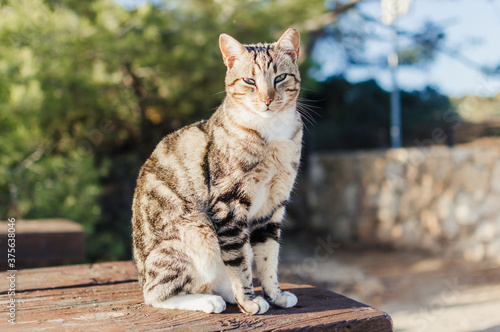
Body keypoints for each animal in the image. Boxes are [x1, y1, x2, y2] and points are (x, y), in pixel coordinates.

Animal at [132, 27, 300, 314]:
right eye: (249, 81)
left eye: (280, 77)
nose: (267, 99)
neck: (272, 135)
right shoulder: (228, 205)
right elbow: (240, 262)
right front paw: (249, 301)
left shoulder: (272, 207)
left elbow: (268, 258)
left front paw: (274, 295)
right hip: (195, 230)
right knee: (157, 294)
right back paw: (209, 300)